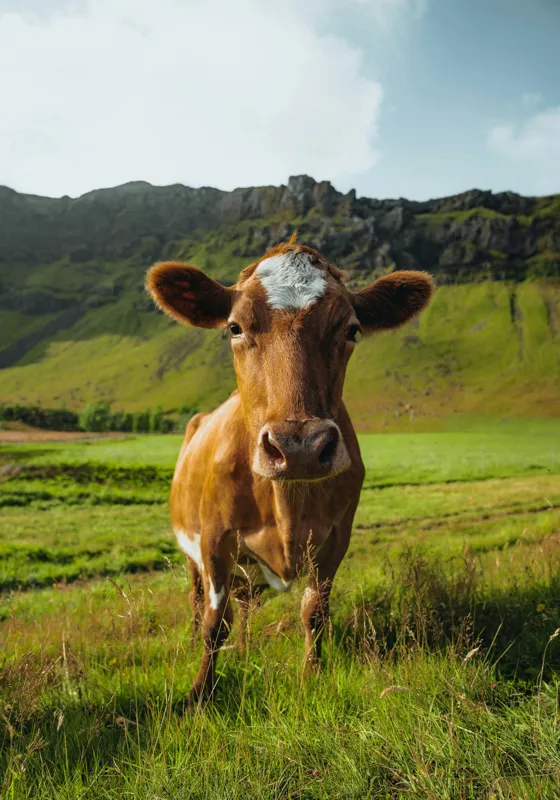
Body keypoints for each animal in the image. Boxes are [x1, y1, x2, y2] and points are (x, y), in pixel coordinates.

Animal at [146, 236, 433, 706]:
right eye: (235, 327)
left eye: (351, 329)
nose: (299, 447)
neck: (287, 503)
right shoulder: (213, 540)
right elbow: (213, 624)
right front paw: (200, 693)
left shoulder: (335, 538)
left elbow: (313, 612)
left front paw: (310, 678)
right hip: (191, 552)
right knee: (197, 600)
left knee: (246, 605)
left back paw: (246, 648)